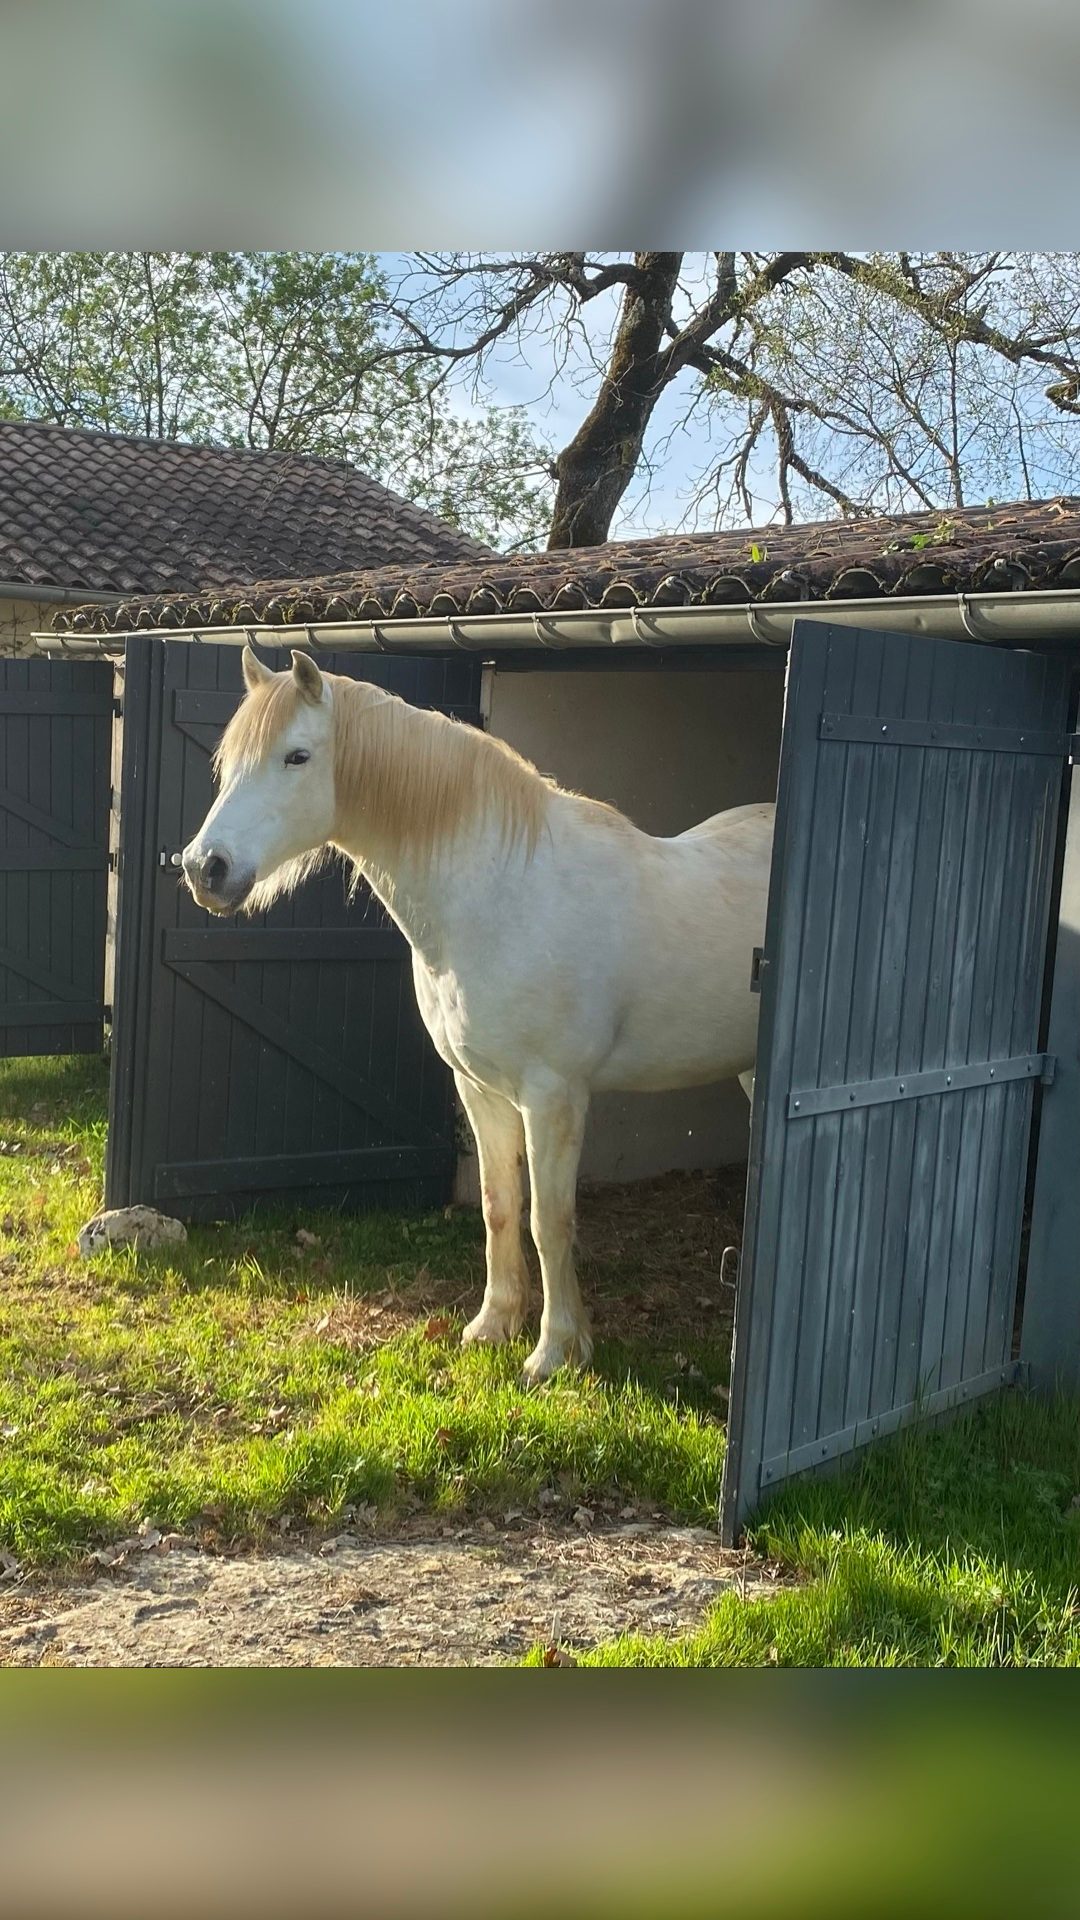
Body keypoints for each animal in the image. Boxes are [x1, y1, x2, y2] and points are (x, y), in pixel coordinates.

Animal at [182, 648, 775, 1382]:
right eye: (228, 760)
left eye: (297, 756)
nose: (205, 868)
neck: (501, 895)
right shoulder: (480, 1090)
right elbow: (499, 1207)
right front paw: (494, 1325)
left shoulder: (553, 1097)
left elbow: (550, 1221)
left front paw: (556, 1352)